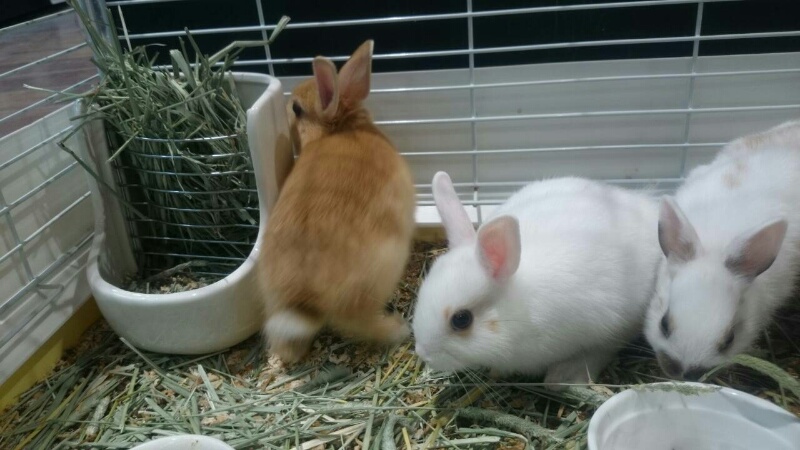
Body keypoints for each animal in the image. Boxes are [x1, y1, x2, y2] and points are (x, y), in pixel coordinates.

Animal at [258, 40, 416, 364]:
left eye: (296, 109)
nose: (286, 107)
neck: (339, 128)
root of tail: (306, 299)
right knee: (362, 324)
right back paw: (398, 329)